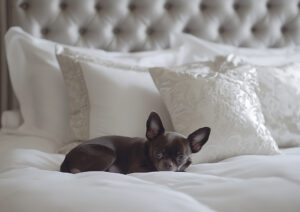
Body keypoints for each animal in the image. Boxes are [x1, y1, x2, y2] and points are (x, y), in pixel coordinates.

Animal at [60, 112, 211, 175]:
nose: (168, 164)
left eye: (181, 157)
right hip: (108, 154)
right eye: (158, 154)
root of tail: (67, 158)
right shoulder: (138, 169)